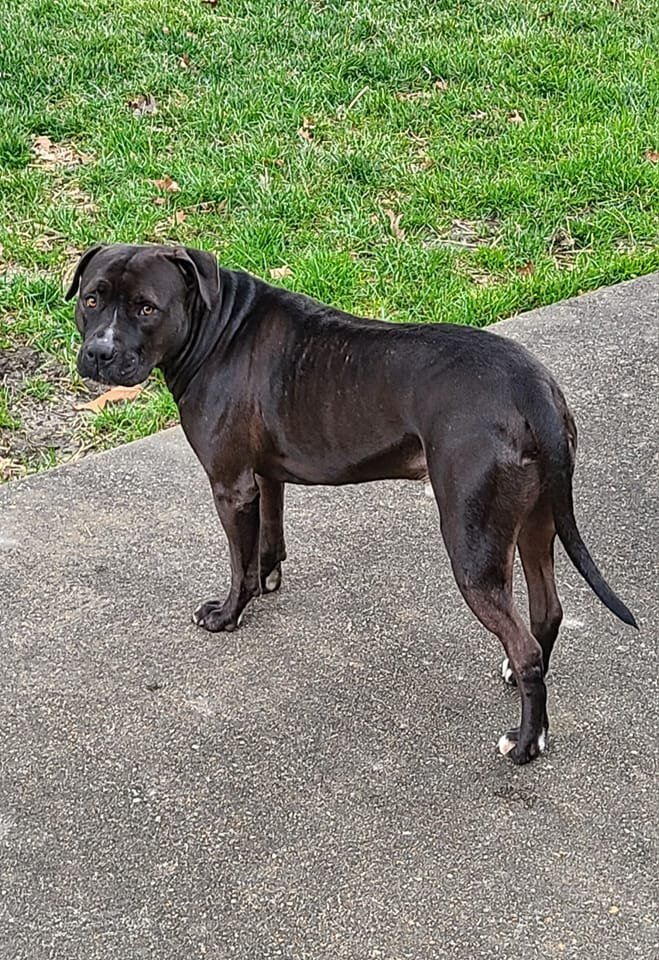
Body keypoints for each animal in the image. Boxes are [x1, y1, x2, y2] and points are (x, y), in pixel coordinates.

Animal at [67, 246, 640, 764]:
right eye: (92, 299)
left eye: (147, 308)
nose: (99, 353)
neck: (218, 324)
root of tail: (535, 391)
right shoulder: (265, 478)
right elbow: (267, 540)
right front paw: (268, 580)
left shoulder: (231, 485)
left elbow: (238, 563)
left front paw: (228, 613)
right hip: (534, 521)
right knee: (547, 612)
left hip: (473, 546)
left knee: (524, 649)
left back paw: (524, 744)